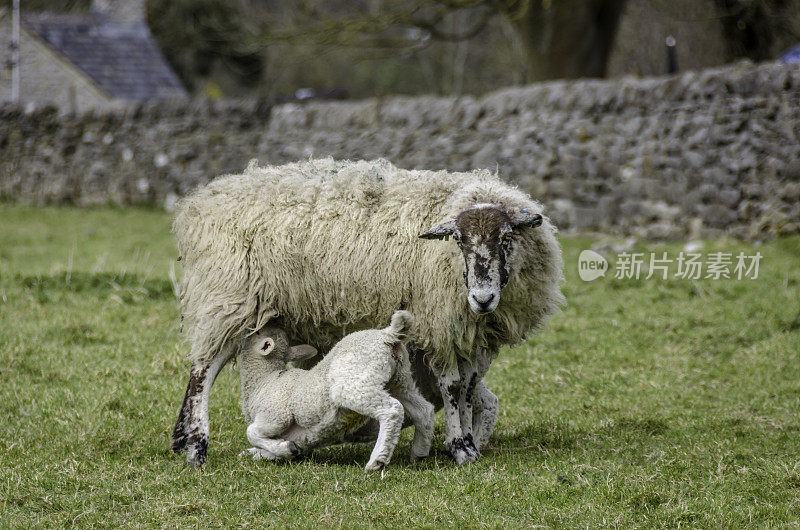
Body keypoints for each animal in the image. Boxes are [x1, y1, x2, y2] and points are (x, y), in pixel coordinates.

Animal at [239, 310, 438, 470]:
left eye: (257, 332)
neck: (263, 381)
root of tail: (387, 334)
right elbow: (262, 450)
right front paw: (271, 451)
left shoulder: (276, 415)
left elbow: (252, 433)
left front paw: (285, 448)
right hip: (399, 380)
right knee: (423, 410)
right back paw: (419, 453)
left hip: (354, 382)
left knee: (392, 410)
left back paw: (377, 461)